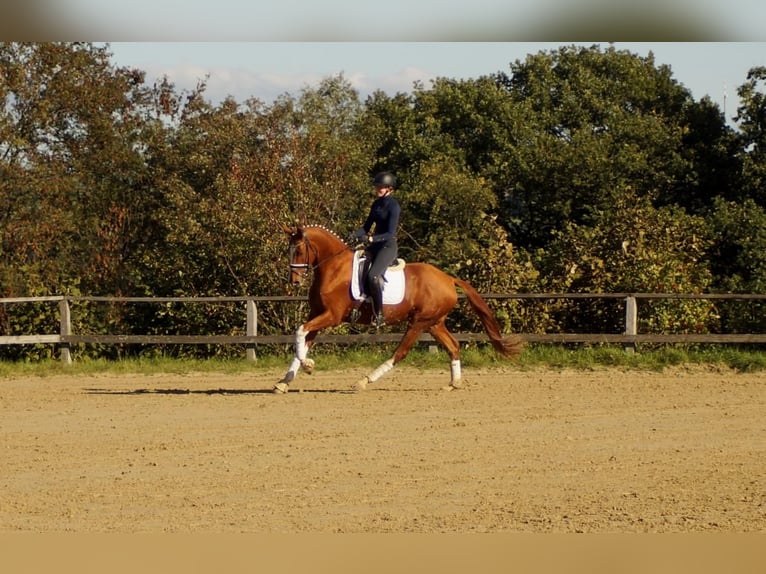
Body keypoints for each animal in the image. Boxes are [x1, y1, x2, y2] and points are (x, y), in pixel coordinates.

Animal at [278, 226, 528, 396]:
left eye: (298, 250)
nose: (294, 281)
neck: (334, 268)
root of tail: (448, 278)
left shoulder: (331, 316)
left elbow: (300, 332)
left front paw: (308, 366)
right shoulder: (316, 314)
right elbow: (303, 339)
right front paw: (284, 381)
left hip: (418, 323)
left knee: (400, 352)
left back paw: (364, 381)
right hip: (434, 323)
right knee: (453, 346)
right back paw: (453, 383)